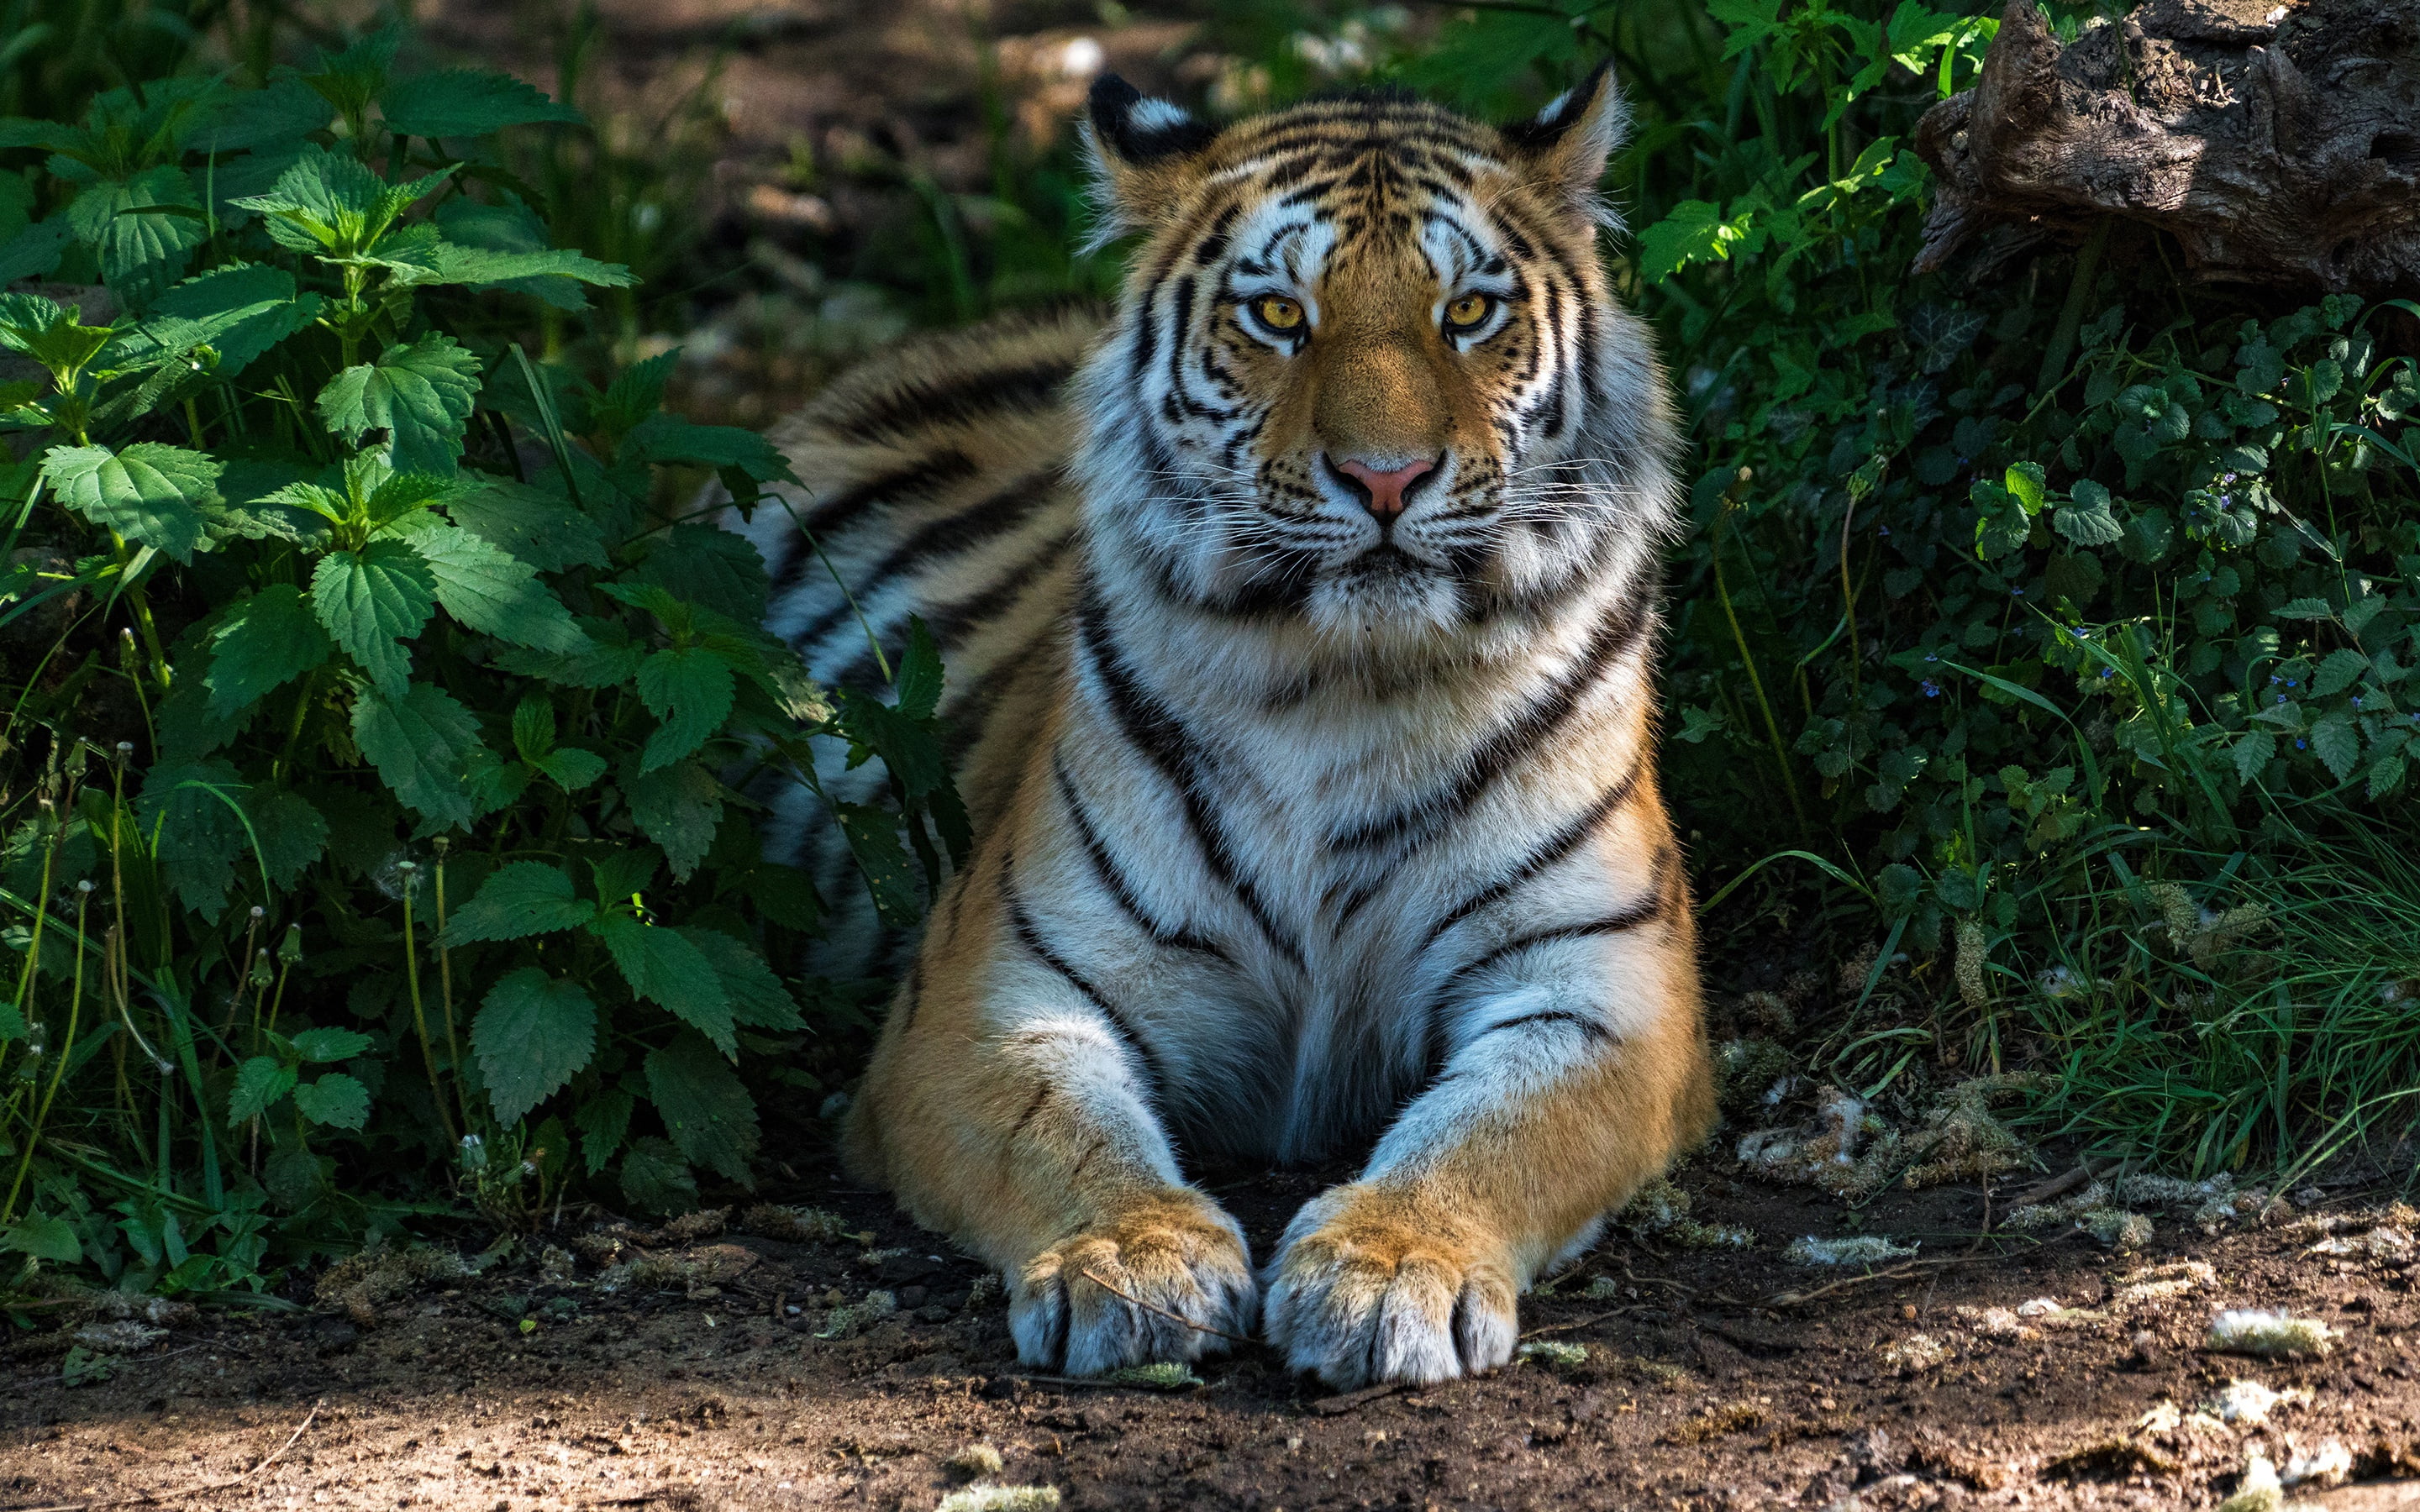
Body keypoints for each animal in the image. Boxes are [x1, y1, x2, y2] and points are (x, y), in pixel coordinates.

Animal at [730, 65, 1716, 1390]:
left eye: (1467, 312)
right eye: (1279, 316)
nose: (1388, 478)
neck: (1351, 690)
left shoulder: (1602, 983)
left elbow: (1499, 1130)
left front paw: (1391, 1267)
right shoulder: (993, 988)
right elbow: (1061, 1131)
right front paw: (1133, 1260)